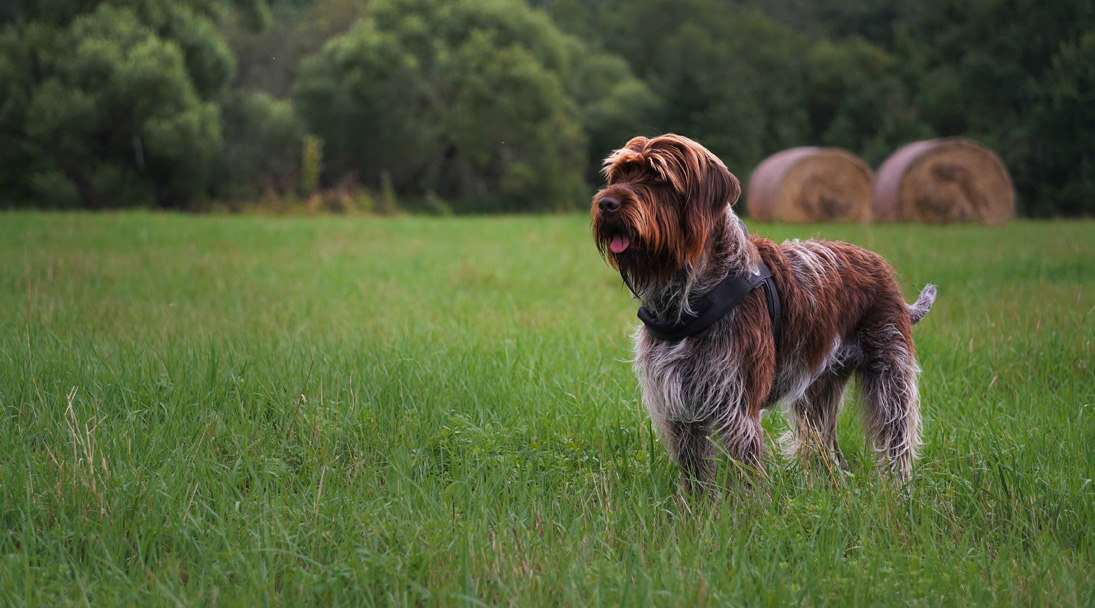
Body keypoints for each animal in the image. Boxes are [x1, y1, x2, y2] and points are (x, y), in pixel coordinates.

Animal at [595, 134, 937, 495]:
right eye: (618, 176)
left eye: (658, 177)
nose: (606, 204)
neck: (685, 294)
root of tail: (879, 265)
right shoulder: (678, 404)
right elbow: (695, 473)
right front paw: (695, 507)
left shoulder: (737, 406)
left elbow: (744, 472)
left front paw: (745, 508)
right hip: (818, 391)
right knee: (827, 449)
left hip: (890, 377)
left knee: (897, 439)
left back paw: (898, 492)